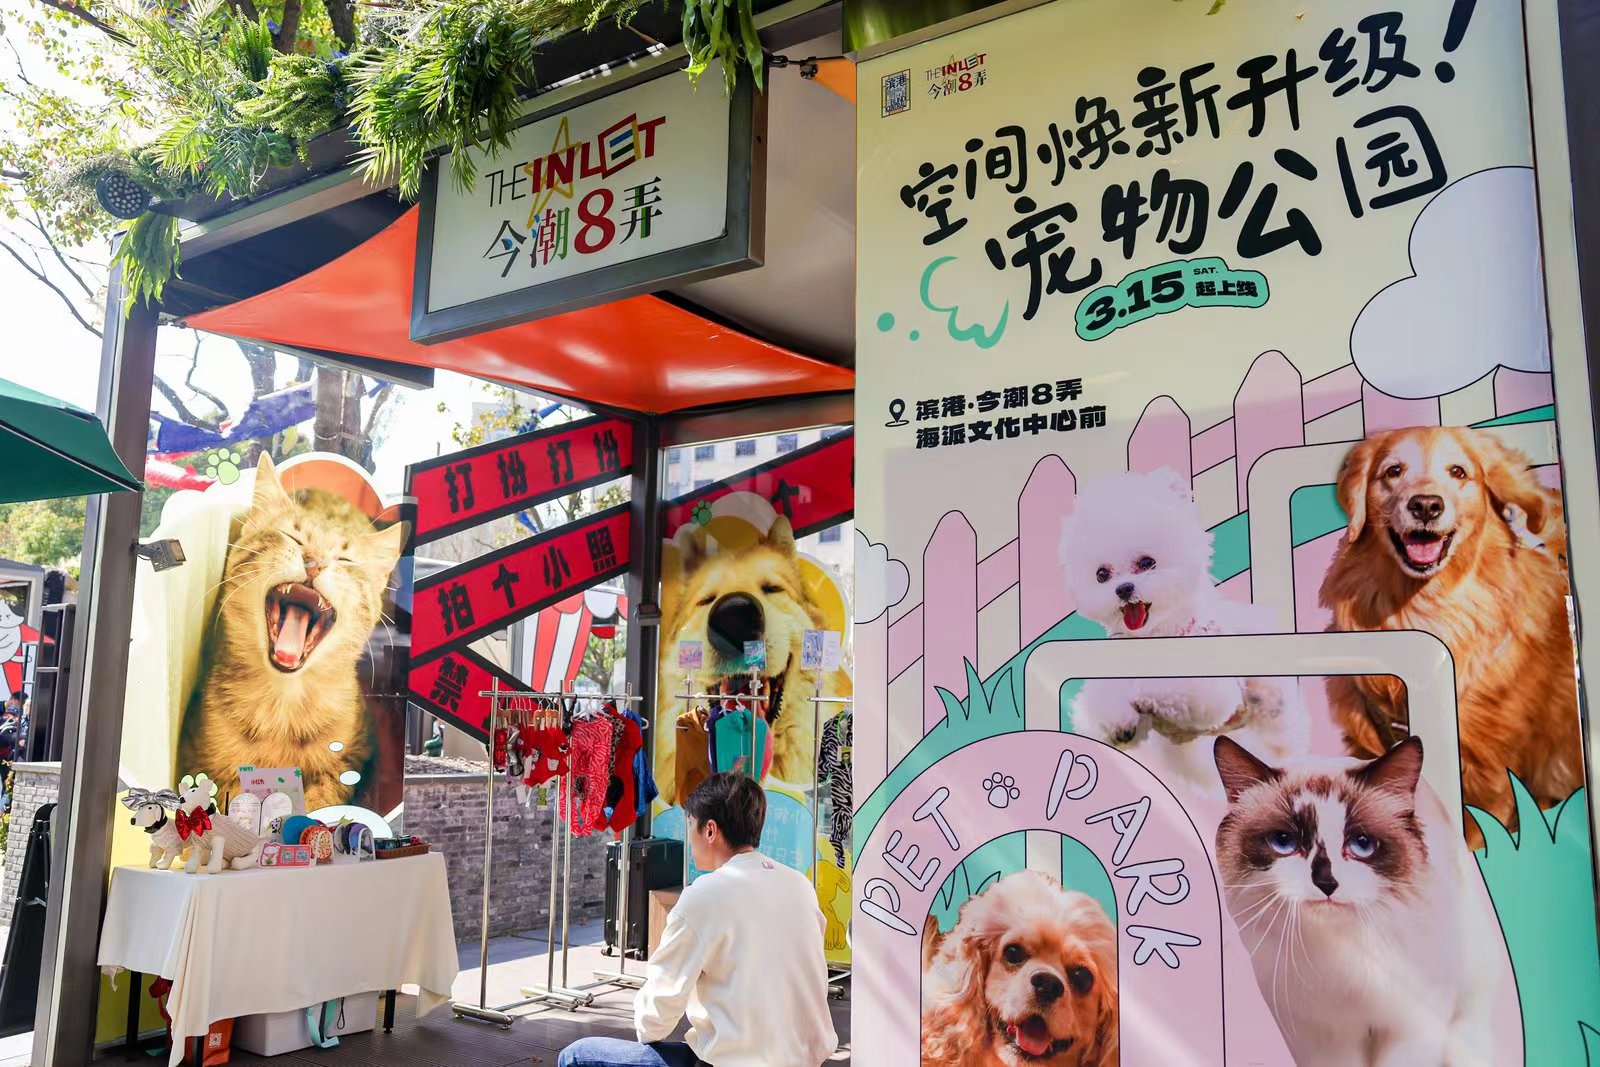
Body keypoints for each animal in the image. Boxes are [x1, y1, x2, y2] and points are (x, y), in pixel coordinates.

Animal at [178, 454, 404, 812]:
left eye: (345, 559)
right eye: (291, 536)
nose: (314, 561)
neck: (281, 707)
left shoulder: (356, 759)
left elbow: (324, 797)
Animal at [1060, 468, 1307, 797]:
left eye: (1147, 562)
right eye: (1102, 574)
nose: (1123, 589)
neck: (1159, 635)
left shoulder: (1206, 690)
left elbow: (1164, 686)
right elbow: (1107, 703)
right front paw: (1119, 723)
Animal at [1212, 735, 1497, 1067]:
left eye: (1362, 844)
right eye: (1284, 842)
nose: (1326, 883)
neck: (1341, 957)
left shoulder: (1412, 1029)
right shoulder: (1322, 1039)